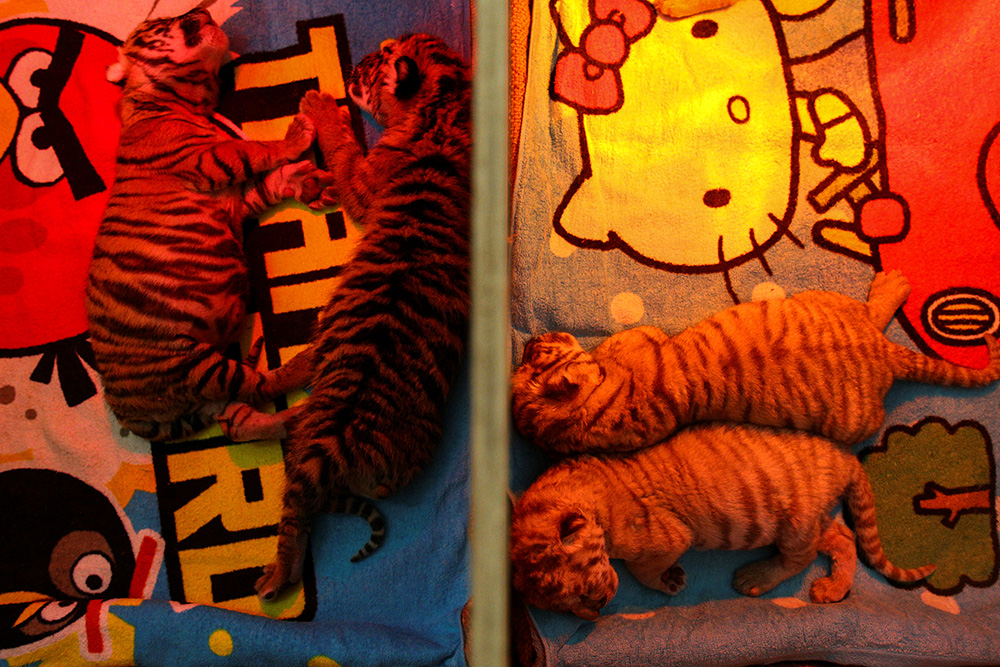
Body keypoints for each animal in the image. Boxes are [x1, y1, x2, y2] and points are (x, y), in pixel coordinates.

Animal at [85, 8, 329, 442]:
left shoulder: (232, 201)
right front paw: (298, 135)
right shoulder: (208, 161)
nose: (200, 11)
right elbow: (253, 150)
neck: (180, 100)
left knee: (245, 420)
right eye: (161, 21)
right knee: (259, 386)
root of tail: (131, 416)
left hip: (208, 395)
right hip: (192, 364)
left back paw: (299, 418)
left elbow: (262, 187)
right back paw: (310, 360)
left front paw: (296, 180)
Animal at [254, 34, 472, 600]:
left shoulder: (361, 179)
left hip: (317, 387)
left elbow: (343, 147)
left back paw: (274, 579)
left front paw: (318, 107)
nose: (352, 68)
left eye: (377, 59)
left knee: (295, 508)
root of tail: (342, 436)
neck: (450, 101)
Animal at [510, 422, 936, 620]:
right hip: (812, 518)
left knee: (801, 557)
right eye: (564, 607)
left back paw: (755, 579)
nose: (597, 609)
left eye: (587, 586)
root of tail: (846, 457)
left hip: (796, 522)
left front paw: (669, 581)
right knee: (843, 537)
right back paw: (833, 589)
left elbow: (640, 569)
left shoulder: (666, 538)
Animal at [512, 270, 1000, 455]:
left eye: (537, 352)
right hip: (850, 401)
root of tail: (884, 353)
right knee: (870, 316)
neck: (582, 413)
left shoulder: (642, 337)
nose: (530, 338)